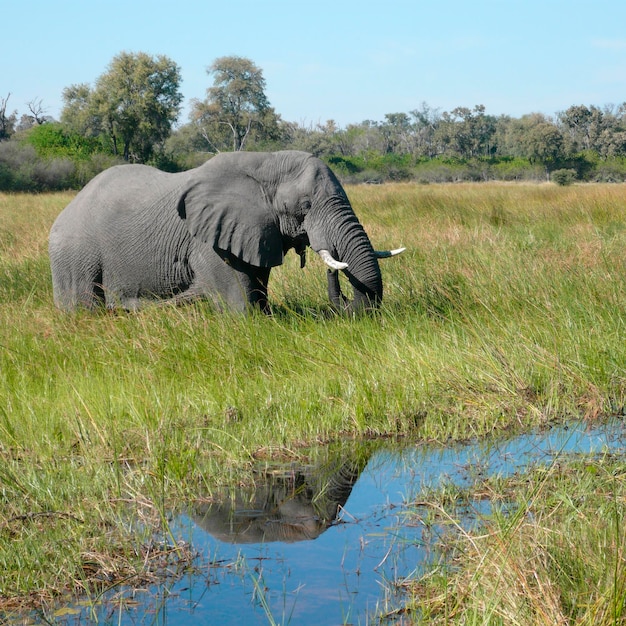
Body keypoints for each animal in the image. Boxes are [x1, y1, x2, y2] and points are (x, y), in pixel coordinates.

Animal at [46, 149, 402, 314]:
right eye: (305, 206)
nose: (333, 264)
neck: (265, 162)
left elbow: (257, 287)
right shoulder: (209, 243)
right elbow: (241, 306)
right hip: (75, 255)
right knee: (83, 305)